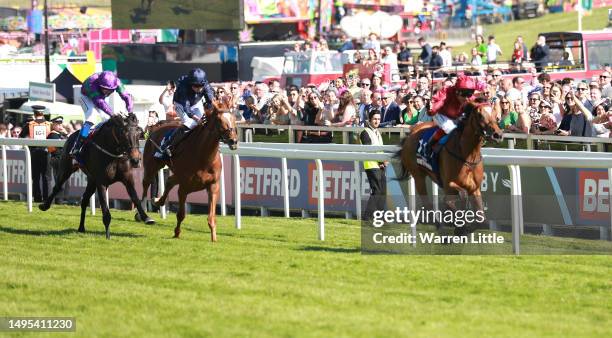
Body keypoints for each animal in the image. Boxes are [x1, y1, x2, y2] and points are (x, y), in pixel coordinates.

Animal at [140, 99, 238, 240]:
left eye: (234, 118)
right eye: (219, 120)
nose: (233, 141)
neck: (203, 157)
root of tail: (155, 127)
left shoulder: (213, 186)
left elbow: (211, 217)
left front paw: (214, 238)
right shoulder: (184, 187)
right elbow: (181, 214)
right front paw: (176, 232)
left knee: (169, 180)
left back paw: (158, 201)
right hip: (151, 166)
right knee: (146, 184)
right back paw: (143, 214)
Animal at [396, 99, 502, 234]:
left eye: (495, 113)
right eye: (479, 115)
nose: (497, 135)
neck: (467, 156)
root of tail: (411, 133)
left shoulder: (475, 188)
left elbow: (482, 221)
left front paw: (464, 228)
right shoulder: (449, 185)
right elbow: (455, 198)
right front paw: (459, 225)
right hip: (418, 176)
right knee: (427, 204)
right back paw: (440, 226)